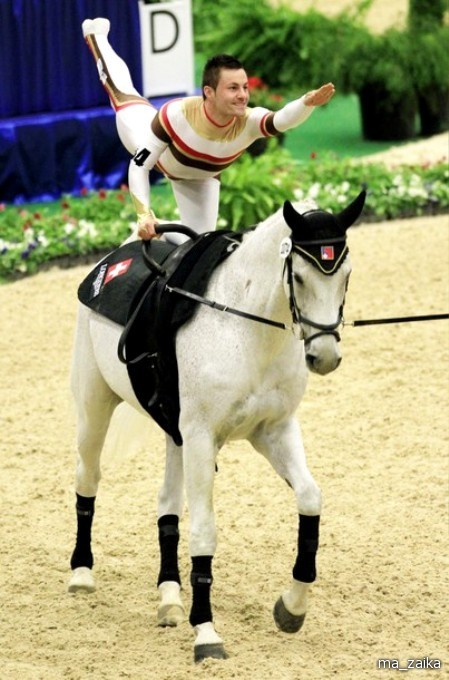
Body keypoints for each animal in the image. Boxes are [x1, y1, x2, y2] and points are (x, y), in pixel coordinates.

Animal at [68, 189, 366, 660]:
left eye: (347, 276)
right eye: (299, 278)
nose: (325, 357)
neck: (247, 328)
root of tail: (117, 255)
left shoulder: (273, 430)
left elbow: (310, 500)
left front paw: (291, 608)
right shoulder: (202, 436)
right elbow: (205, 533)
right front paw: (206, 632)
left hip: (175, 433)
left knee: (167, 505)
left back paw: (169, 598)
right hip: (95, 405)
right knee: (88, 478)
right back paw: (82, 573)